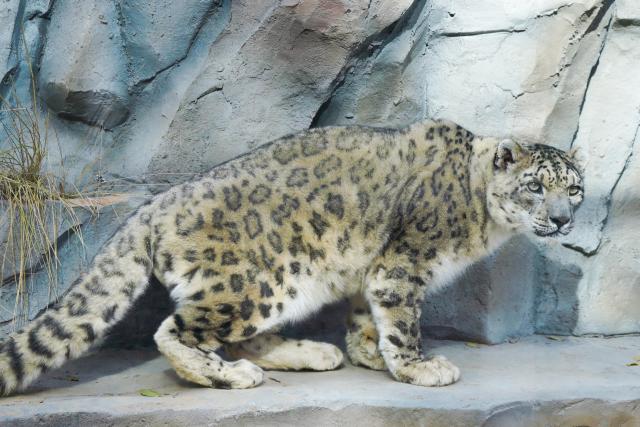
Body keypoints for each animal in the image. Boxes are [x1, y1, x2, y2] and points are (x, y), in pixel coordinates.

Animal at [0, 119, 584, 395]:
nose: (562, 220)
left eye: (574, 188)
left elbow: (365, 318)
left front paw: (368, 354)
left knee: (243, 338)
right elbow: (401, 321)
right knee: (176, 331)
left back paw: (311, 352)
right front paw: (419, 367)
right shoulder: (403, 264)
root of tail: (154, 206)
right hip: (252, 286)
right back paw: (231, 376)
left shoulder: (371, 271)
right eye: (535, 186)